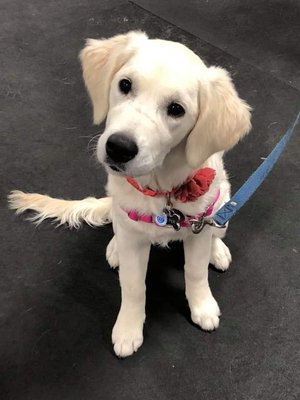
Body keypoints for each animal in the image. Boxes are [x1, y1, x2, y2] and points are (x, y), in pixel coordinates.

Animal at [8, 31, 251, 356]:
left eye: (176, 109)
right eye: (125, 85)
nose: (119, 148)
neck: (161, 190)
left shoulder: (197, 230)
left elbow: (196, 271)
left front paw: (202, 306)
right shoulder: (133, 236)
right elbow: (134, 286)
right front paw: (128, 328)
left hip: (223, 200)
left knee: (216, 231)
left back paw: (218, 250)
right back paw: (115, 248)